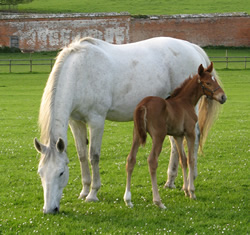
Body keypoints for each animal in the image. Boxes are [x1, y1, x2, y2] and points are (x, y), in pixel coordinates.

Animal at [124, 63, 228, 209]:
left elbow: (182, 159)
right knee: (152, 161)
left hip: (137, 135)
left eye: (215, 80)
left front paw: (185, 191)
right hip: (159, 136)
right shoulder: (190, 133)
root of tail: (143, 105)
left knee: (131, 159)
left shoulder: (178, 135)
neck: (185, 102)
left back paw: (128, 200)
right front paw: (192, 192)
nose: (223, 97)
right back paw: (158, 201)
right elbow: (191, 159)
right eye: (208, 82)